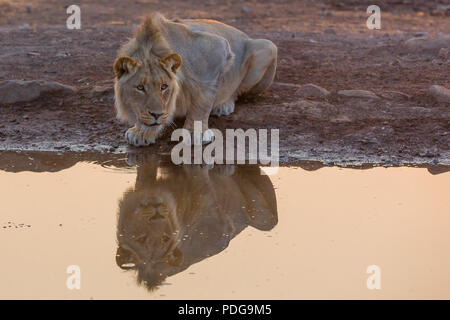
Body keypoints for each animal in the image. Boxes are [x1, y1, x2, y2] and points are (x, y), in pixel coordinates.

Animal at [112, 12, 276, 146]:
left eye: (164, 87)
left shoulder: (216, 50)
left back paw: (223, 105)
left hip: (267, 47)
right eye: (140, 88)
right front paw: (141, 132)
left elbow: (202, 100)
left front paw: (195, 133)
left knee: (237, 91)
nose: (156, 114)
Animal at [115, 156, 278, 292]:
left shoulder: (217, 225)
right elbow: (144, 172)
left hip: (267, 221)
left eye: (165, 239)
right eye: (141, 239)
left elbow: (200, 179)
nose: (156, 213)